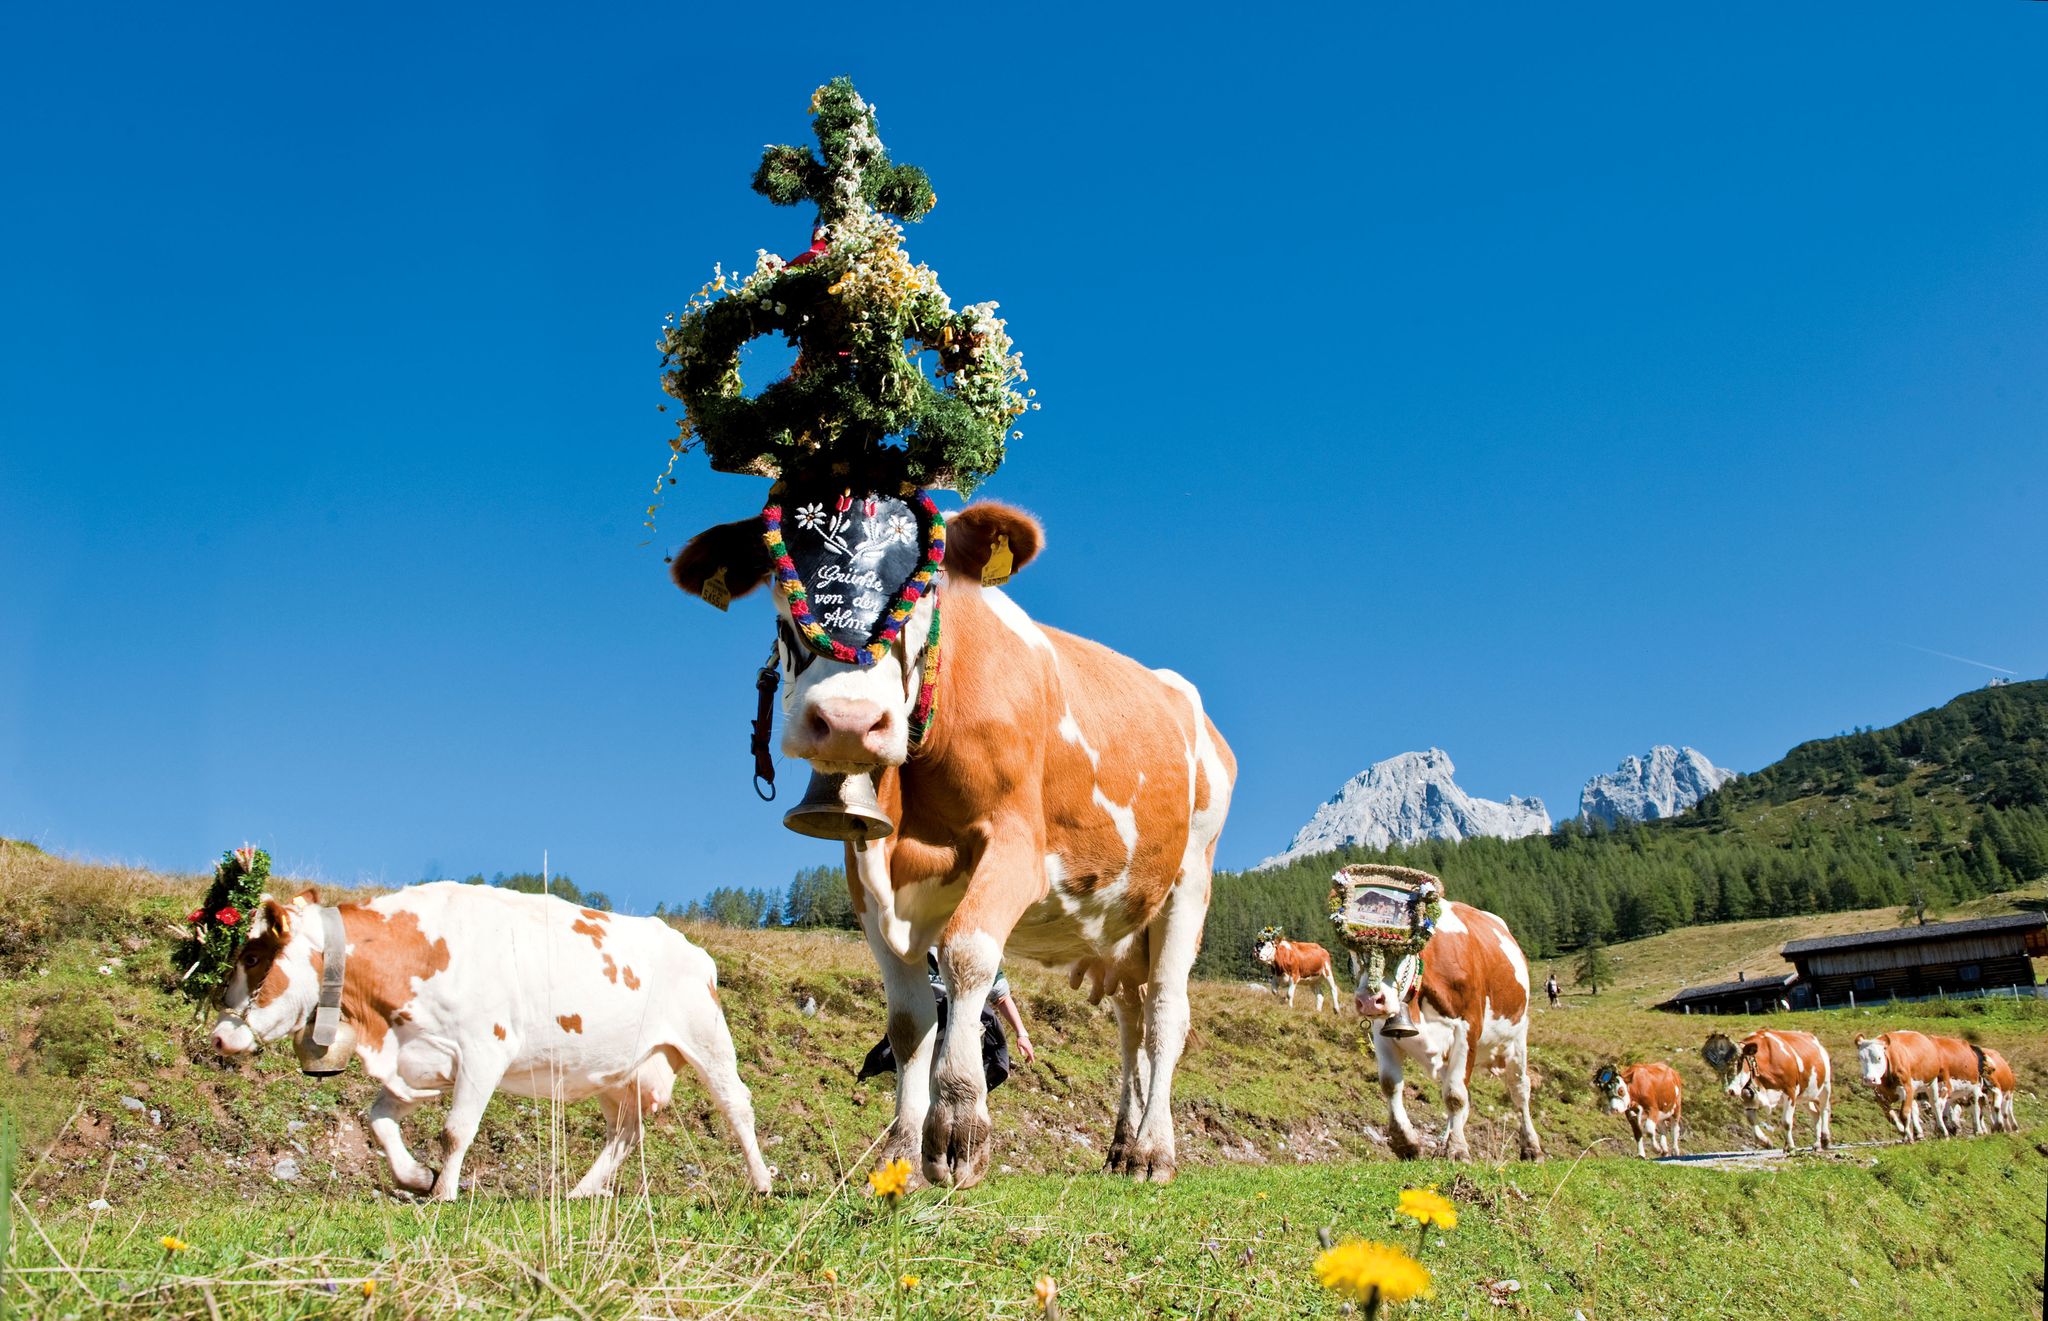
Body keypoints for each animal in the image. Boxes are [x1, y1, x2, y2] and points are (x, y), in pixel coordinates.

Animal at [209, 880, 770, 1204]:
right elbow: (378, 1121)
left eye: (253, 957)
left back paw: (762, 1182)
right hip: (618, 1070)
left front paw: (444, 1193)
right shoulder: (421, 1060)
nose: (218, 1035)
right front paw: (417, 1177)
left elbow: (455, 1130)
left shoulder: (484, 1050)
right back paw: (580, 1192)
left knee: (738, 1106)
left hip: (707, 1040)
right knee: (625, 1132)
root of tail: (694, 949)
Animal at [679, 501, 1236, 1187]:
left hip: (1189, 879)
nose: (847, 721)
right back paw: (1121, 1149)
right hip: (1125, 924)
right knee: (1131, 1022)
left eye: (919, 596)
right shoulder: (867, 876)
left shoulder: (1017, 848)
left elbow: (968, 955)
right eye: (783, 605)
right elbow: (909, 1018)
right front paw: (899, 1154)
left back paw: (1154, 1151)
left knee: (1165, 1015)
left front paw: (958, 1129)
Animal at [1343, 901, 1540, 1163]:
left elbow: (1455, 1095)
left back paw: (1531, 1147)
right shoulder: (1381, 1031)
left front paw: (1458, 1150)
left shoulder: (1467, 1029)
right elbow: (1390, 1084)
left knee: (1520, 1089)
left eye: (1401, 951)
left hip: (1516, 1038)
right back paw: (1444, 1141)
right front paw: (1406, 1142)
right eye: (1354, 952)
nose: (1369, 1001)